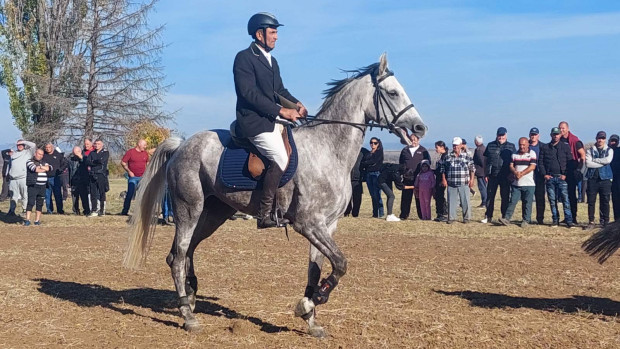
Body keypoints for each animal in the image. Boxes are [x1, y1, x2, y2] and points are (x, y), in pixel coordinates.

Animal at [124, 53, 428, 336]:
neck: (328, 149)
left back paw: (190, 296)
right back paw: (189, 316)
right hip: (189, 210)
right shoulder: (309, 224)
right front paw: (311, 302)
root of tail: (181, 146)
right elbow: (341, 263)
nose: (420, 128)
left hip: (213, 213)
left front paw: (311, 318)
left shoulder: (327, 225)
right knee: (178, 257)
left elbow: (317, 269)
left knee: (183, 253)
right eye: (392, 92)